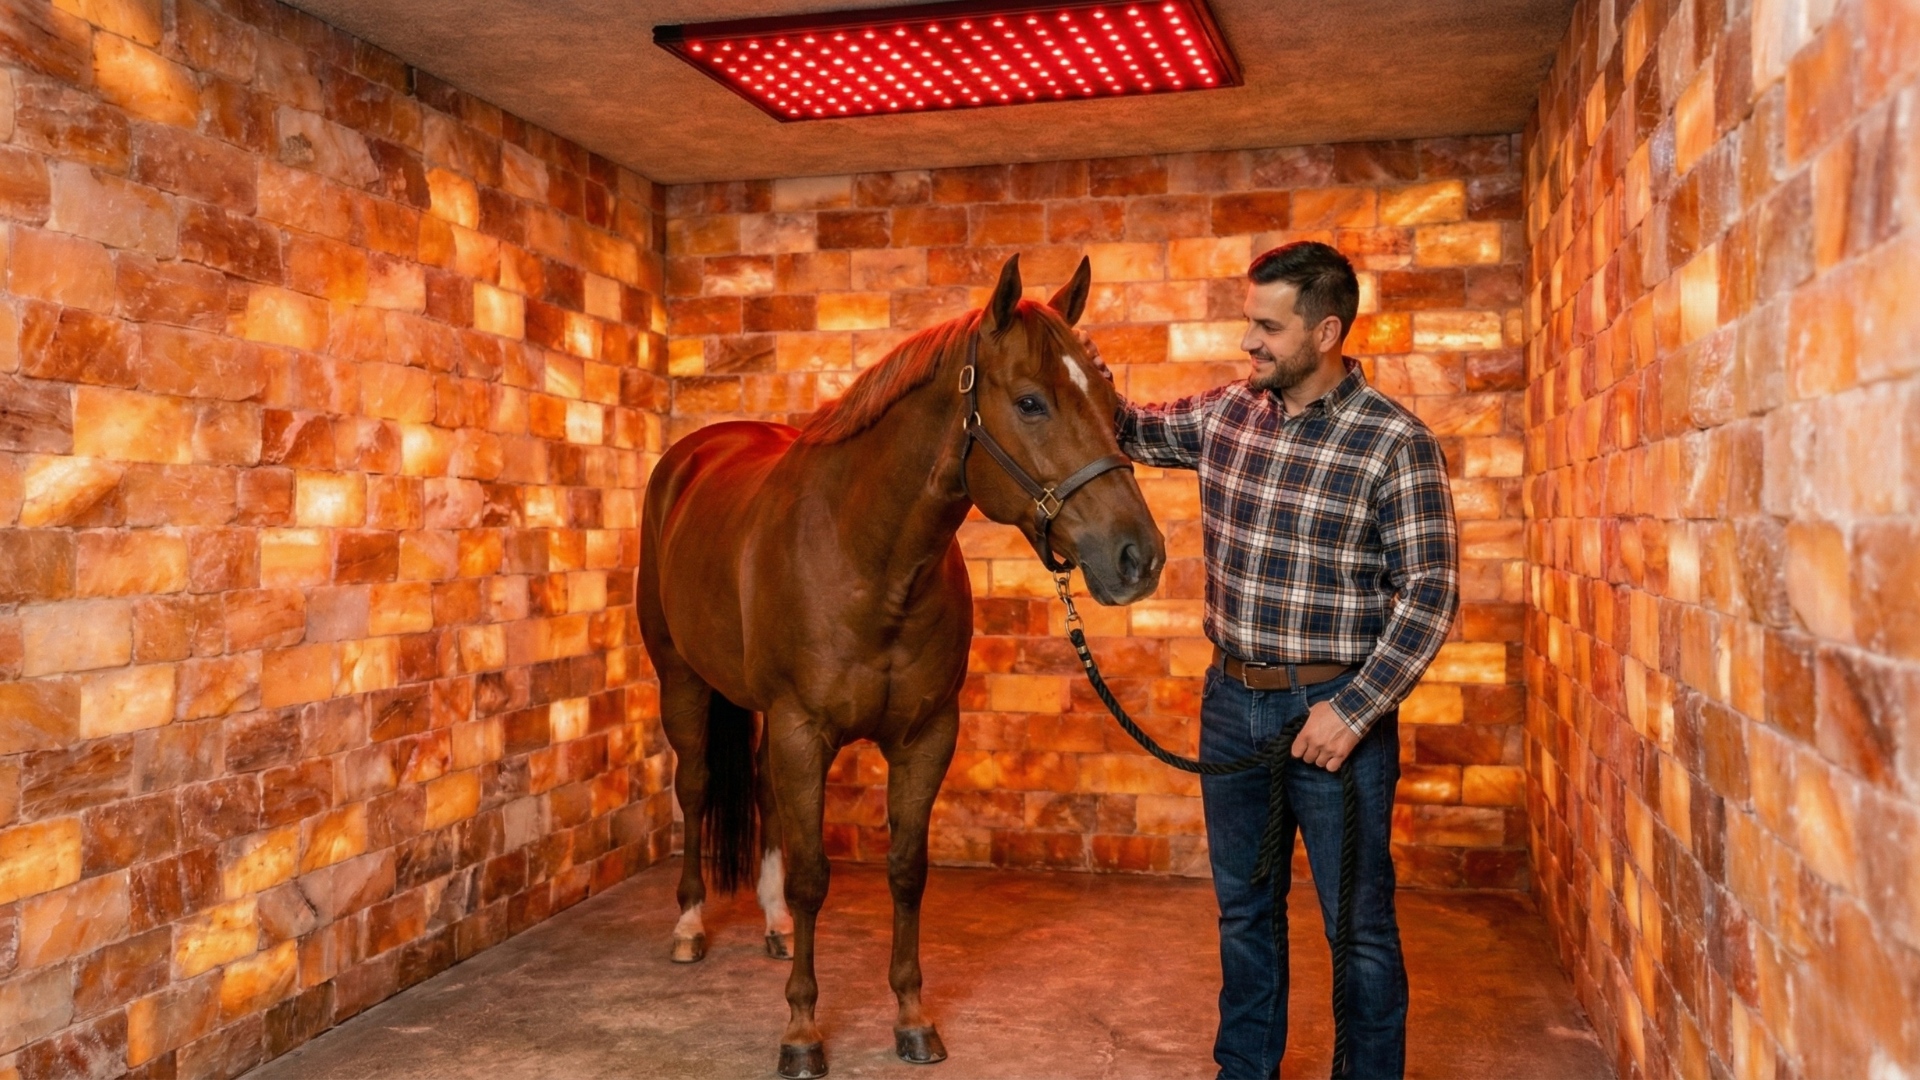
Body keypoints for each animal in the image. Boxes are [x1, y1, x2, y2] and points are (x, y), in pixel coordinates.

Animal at [637, 253, 1166, 1078]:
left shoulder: (925, 736)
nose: (1138, 558)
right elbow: (815, 875)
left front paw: (913, 1019)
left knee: (759, 793)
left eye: (1112, 402)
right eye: (1031, 402)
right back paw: (691, 925)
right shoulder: (804, 731)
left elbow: (907, 871)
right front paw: (802, 1032)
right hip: (681, 681)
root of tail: (694, 453)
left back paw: (772, 923)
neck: (869, 556)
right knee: (694, 787)